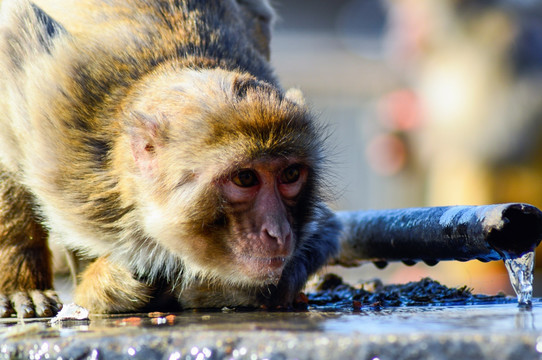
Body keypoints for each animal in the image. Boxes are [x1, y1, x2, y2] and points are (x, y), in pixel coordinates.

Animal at [0, 0, 340, 318]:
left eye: (290, 175)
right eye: (245, 178)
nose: (278, 232)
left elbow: (324, 233)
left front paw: (212, 289)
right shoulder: (61, 143)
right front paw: (106, 286)